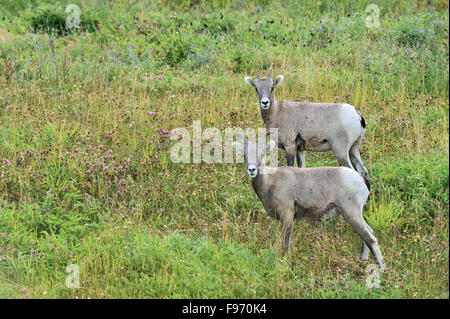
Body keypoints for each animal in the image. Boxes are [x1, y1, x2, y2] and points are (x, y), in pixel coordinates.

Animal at [234, 134, 384, 272]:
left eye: (262, 154)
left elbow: (284, 244)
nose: (252, 170)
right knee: (368, 235)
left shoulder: (287, 217)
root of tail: (362, 179)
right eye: (245, 155)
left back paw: (382, 269)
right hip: (355, 215)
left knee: (371, 239)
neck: (271, 181)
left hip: (352, 214)